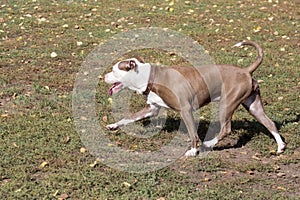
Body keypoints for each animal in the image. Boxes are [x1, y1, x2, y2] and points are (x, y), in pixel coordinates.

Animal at [105, 40, 286, 156]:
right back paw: (280, 146)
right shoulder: (152, 109)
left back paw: (209, 143)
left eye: (114, 71)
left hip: (226, 104)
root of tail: (246, 71)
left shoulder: (185, 110)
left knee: (226, 128)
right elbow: (128, 118)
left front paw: (193, 150)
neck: (152, 77)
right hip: (253, 106)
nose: (104, 77)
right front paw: (113, 125)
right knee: (269, 123)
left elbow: (193, 133)